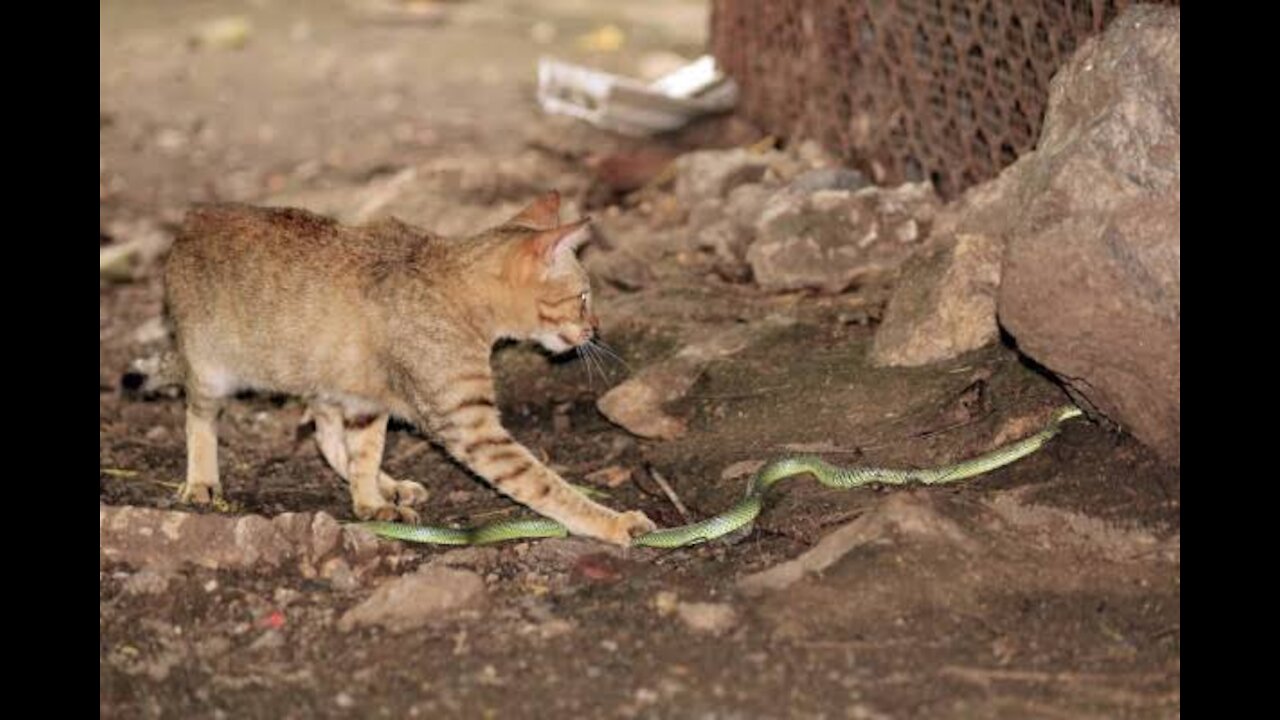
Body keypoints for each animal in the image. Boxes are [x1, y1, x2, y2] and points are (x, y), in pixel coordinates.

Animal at [160, 190, 655, 543]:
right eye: (584, 297)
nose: (596, 329)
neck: (458, 286)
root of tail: (191, 220)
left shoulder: (368, 401)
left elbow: (362, 452)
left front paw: (370, 501)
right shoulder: (471, 427)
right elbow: (546, 485)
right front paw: (613, 522)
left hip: (335, 378)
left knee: (327, 437)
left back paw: (386, 486)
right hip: (211, 371)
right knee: (198, 417)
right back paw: (201, 481)